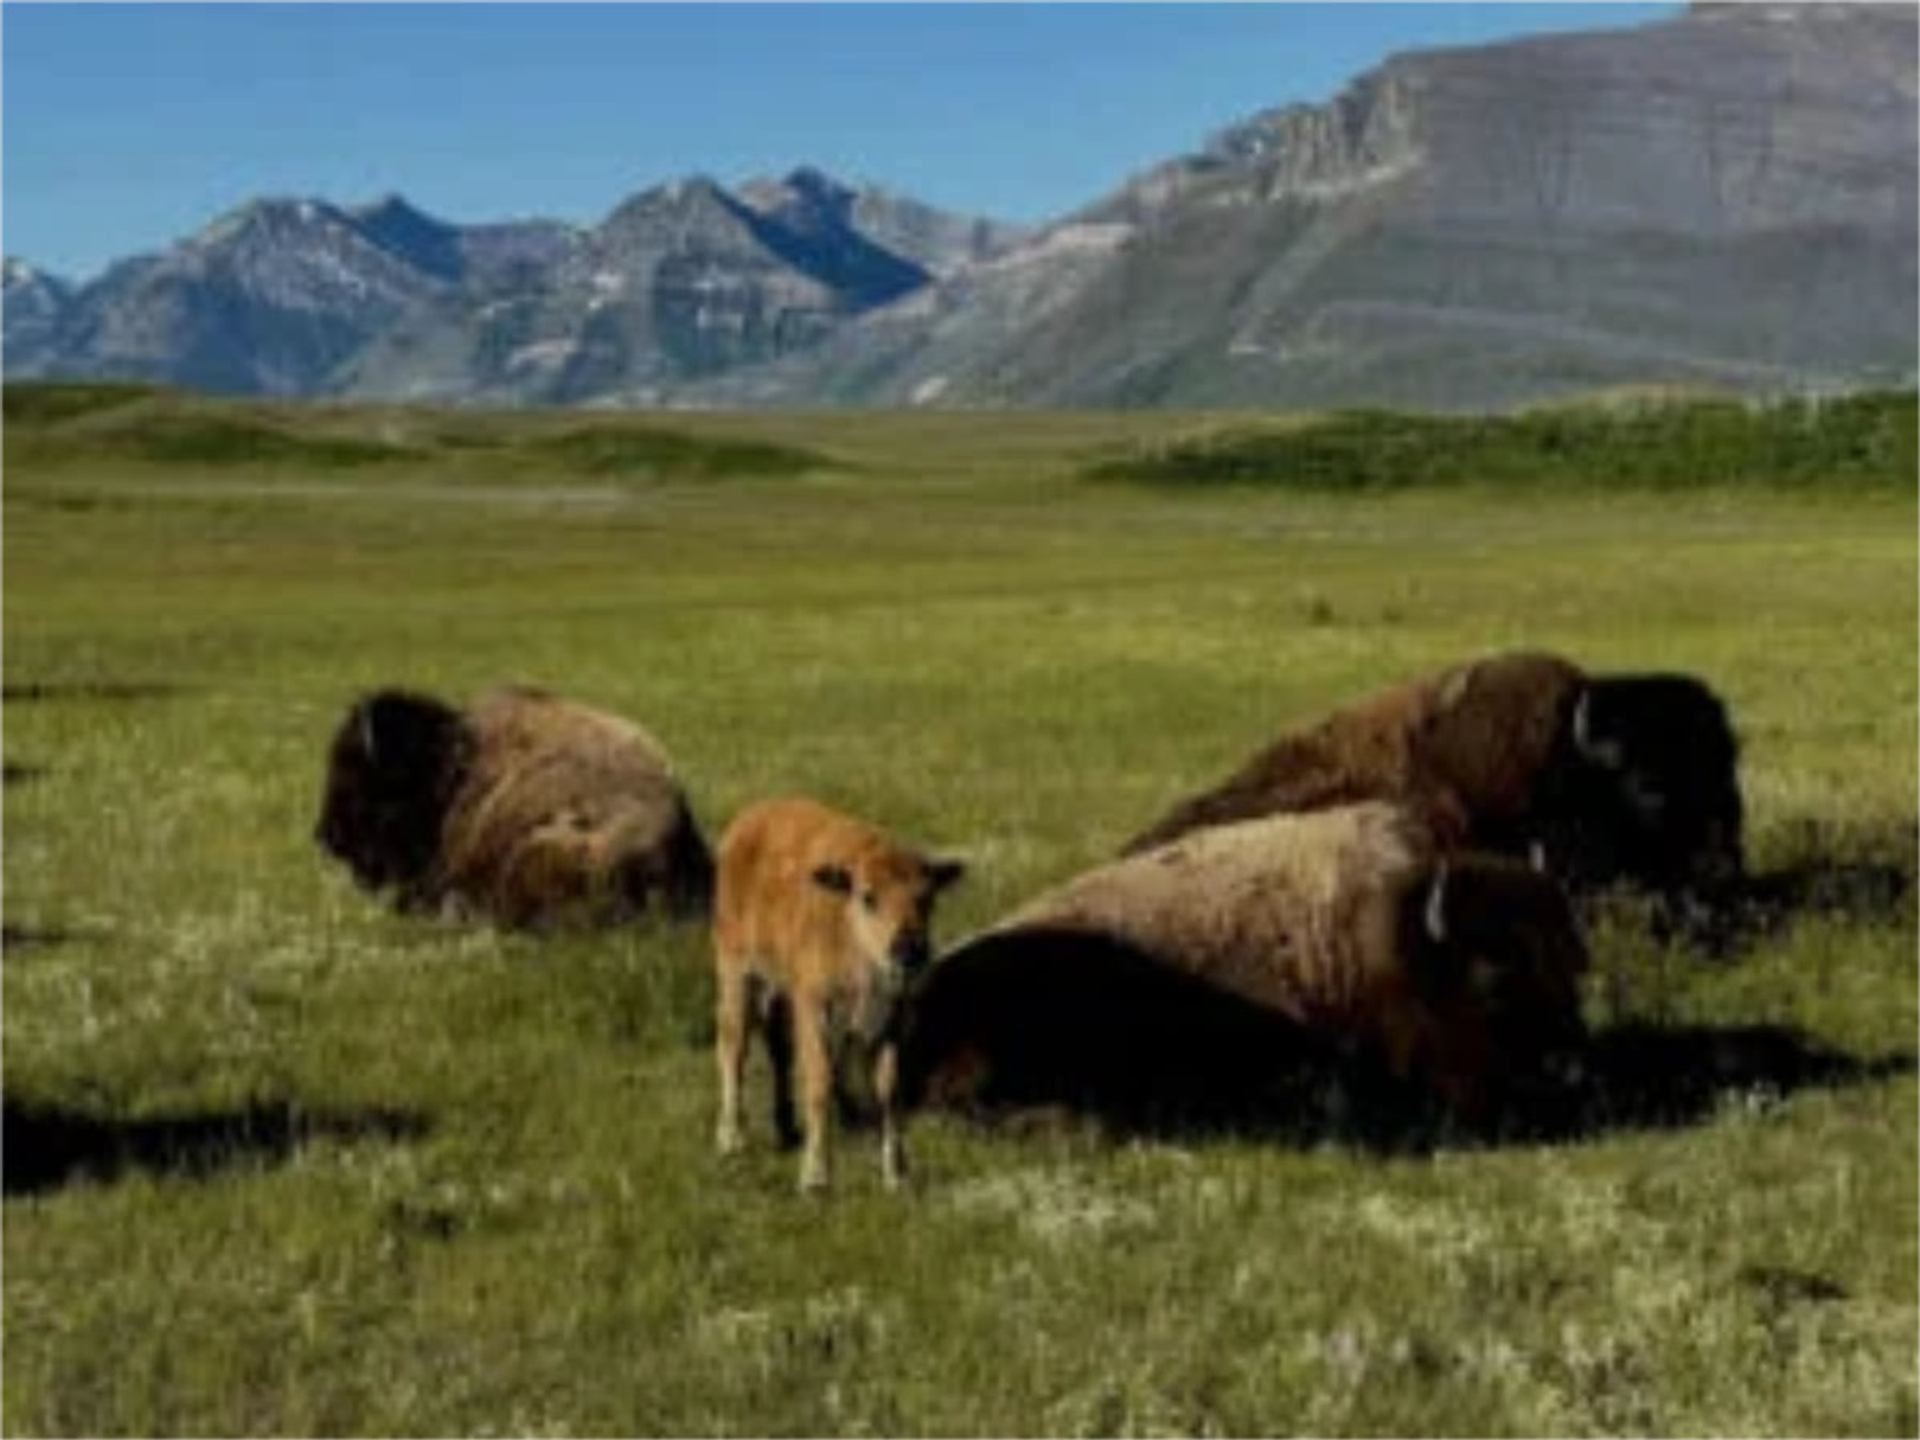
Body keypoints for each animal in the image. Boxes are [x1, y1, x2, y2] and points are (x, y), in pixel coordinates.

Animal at [712, 796, 964, 1192]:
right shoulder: (816, 1008)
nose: (908, 950)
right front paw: (816, 1178)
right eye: (868, 897)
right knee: (733, 1045)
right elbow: (820, 1081)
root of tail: (746, 822)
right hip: (737, 971)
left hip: (779, 990)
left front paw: (898, 1174)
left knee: (779, 1049)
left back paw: (787, 1130)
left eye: (927, 899)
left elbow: (889, 1089)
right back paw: (732, 1139)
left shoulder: (890, 1019)